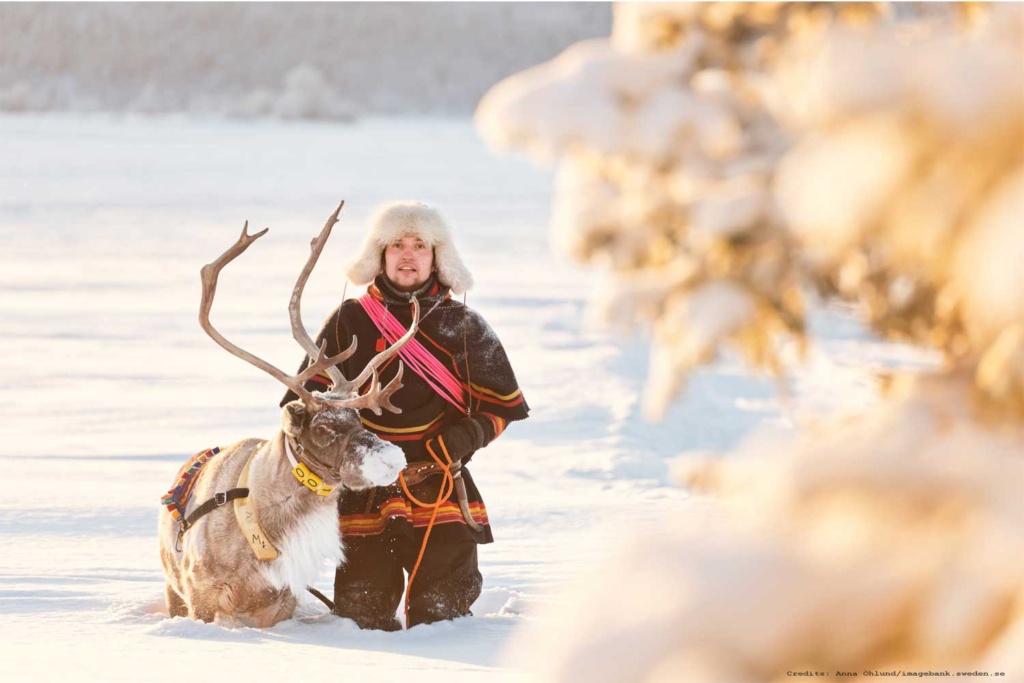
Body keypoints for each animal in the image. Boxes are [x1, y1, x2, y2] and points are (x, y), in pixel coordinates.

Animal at [159, 202, 415, 627]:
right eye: (324, 429)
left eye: (360, 421)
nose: (393, 458)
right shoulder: (201, 595)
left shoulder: (283, 599)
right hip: (170, 586)